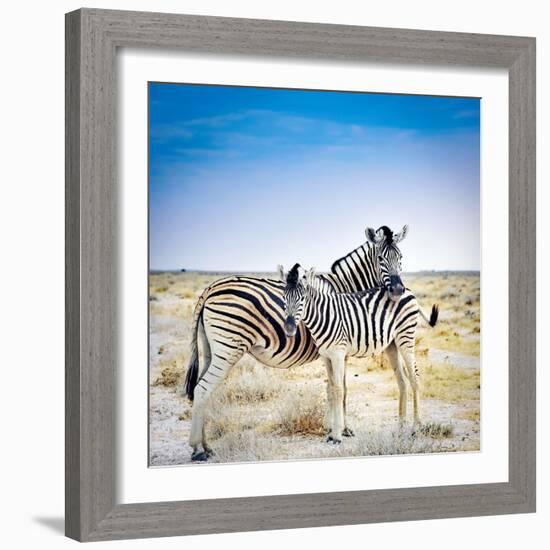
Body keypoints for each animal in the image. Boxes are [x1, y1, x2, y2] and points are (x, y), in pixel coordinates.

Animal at [184, 224, 410, 462]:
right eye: (380, 258)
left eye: (401, 257)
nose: (397, 290)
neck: (345, 290)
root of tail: (210, 288)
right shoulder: (341, 350)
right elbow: (343, 389)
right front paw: (343, 429)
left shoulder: (332, 350)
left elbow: (332, 387)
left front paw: (331, 429)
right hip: (228, 349)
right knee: (202, 389)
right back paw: (198, 449)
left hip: (211, 350)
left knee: (201, 390)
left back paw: (206, 446)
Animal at [284, 264, 440, 444]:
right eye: (284, 298)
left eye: (302, 299)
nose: (289, 328)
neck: (324, 315)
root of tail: (407, 290)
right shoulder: (326, 356)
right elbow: (331, 388)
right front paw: (331, 432)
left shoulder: (338, 354)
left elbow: (338, 389)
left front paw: (337, 435)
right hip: (392, 344)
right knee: (402, 381)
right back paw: (400, 429)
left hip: (405, 337)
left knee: (415, 378)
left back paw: (415, 428)